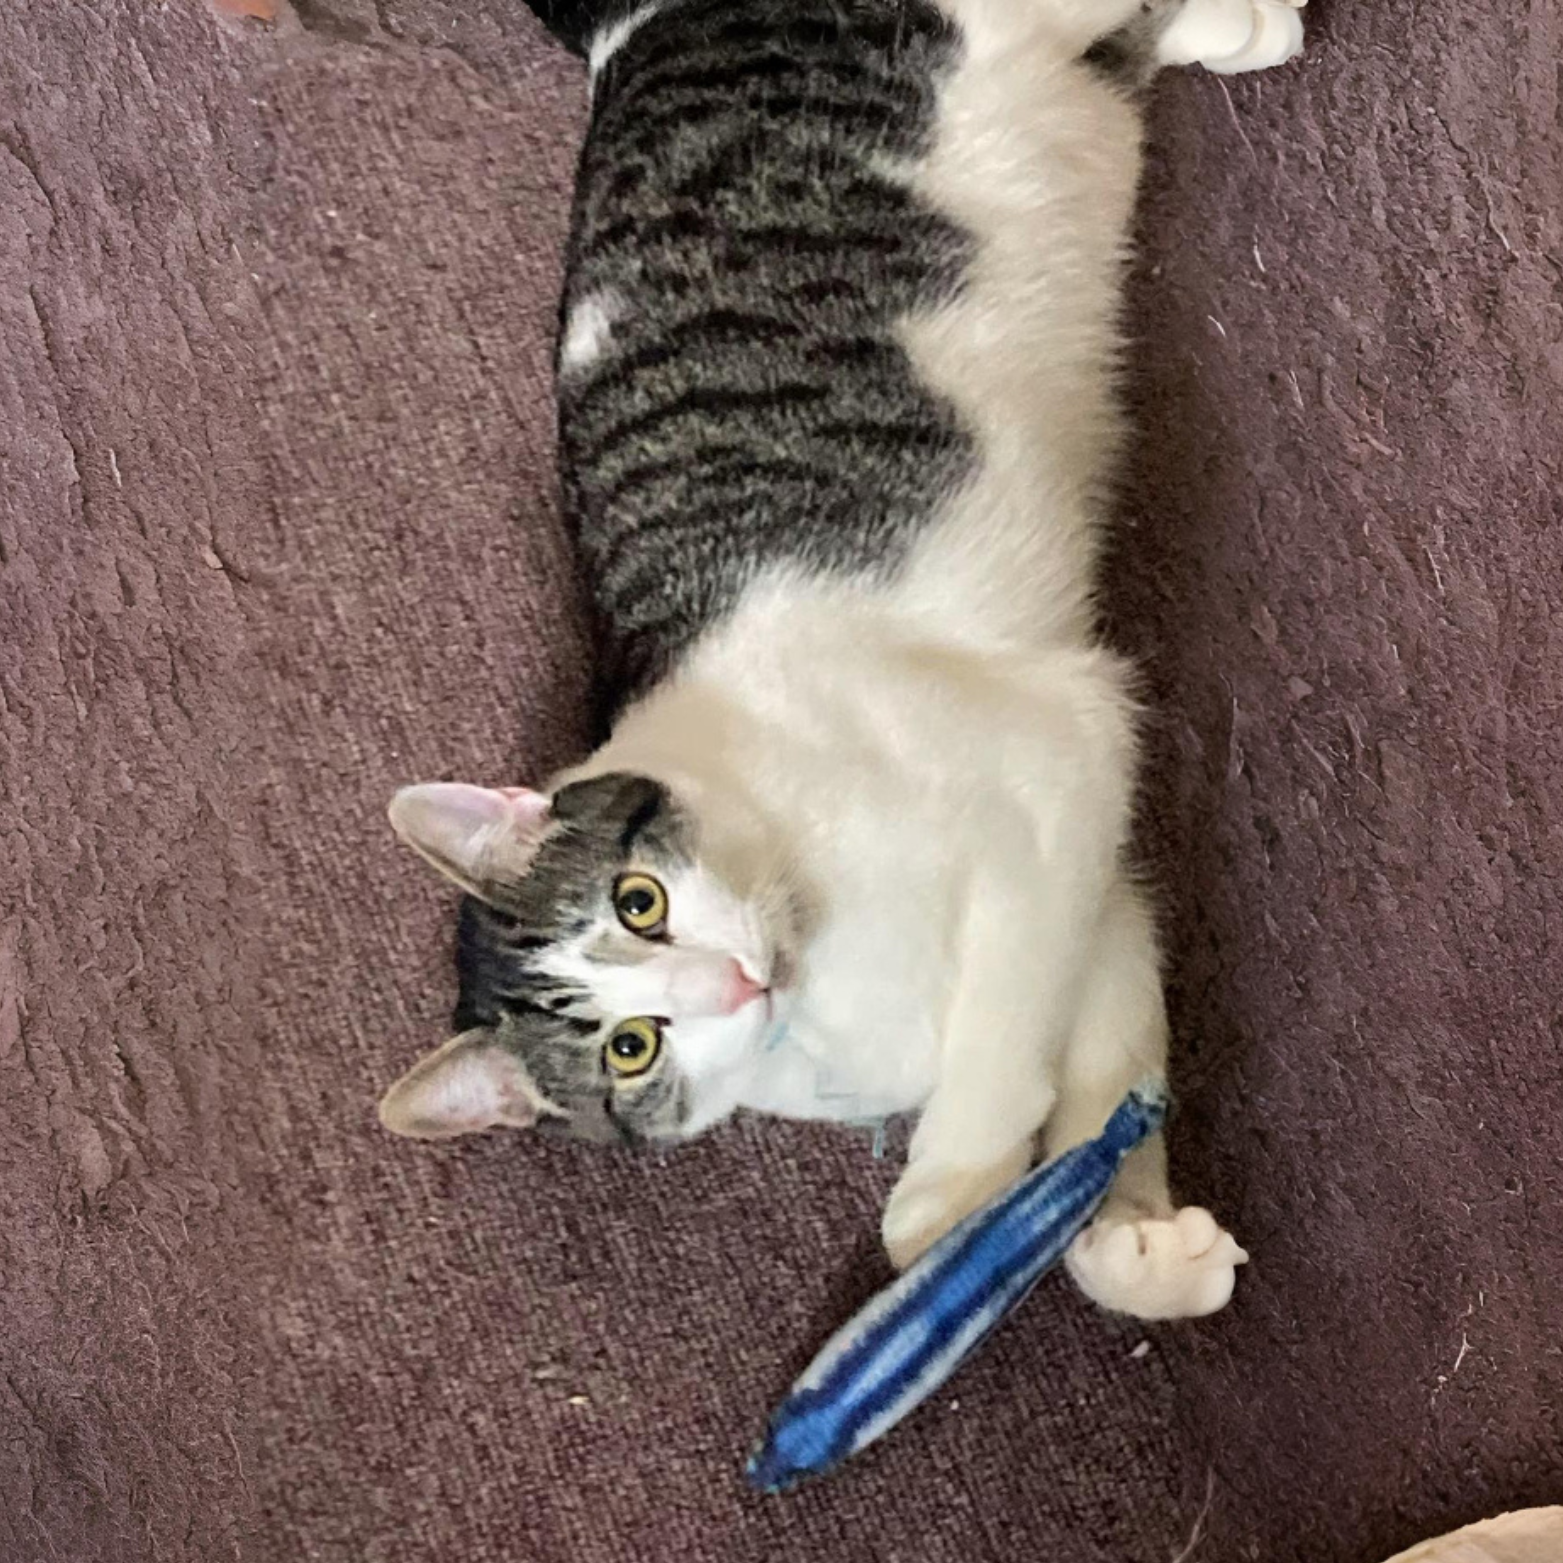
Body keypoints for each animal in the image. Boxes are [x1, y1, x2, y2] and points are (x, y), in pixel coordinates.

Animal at [377, 0, 1305, 1320]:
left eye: (640, 901)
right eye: (630, 1049)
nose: (734, 984)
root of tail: (634, 25)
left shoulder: (1062, 755)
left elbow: (995, 1053)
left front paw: (947, 1220)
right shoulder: (1097, 891)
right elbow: (1106, 1061)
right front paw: (1126, 1239)